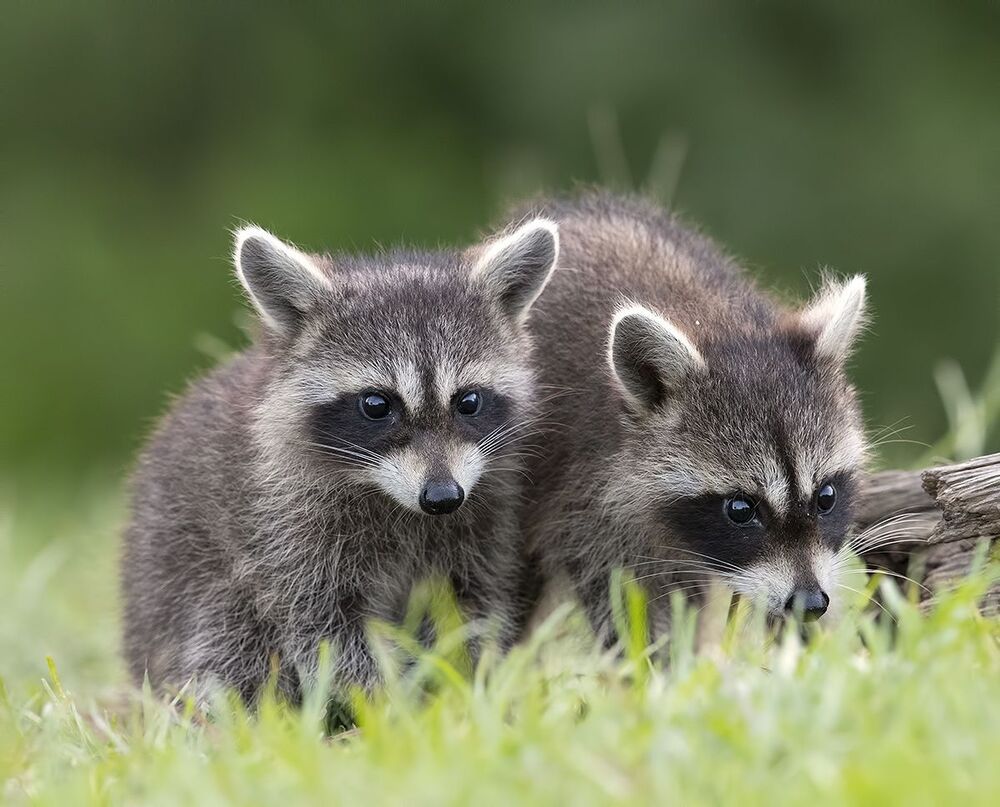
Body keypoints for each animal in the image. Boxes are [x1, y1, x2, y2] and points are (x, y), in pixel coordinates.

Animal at [121, 218, 559, 703]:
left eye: (468, 401)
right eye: (376, 405)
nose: (442, 497)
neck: (392, 499)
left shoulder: (488, 512)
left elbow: (470, 608)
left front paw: (459, 689)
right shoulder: (285, 525)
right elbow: (324, 626)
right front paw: (386, 703)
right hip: (186, 588)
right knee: (230, 641)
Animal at [518, 193, 868, 637]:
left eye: (826, 497)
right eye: (740, 509)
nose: (810, 603)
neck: (717, 320)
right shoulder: (584, 490)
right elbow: (621, 594)